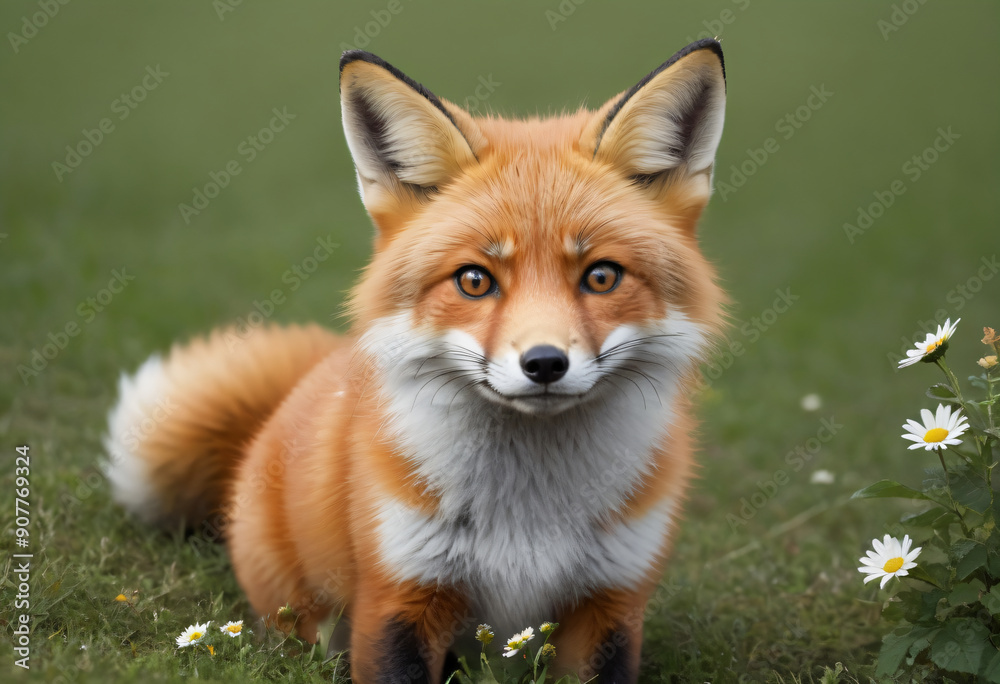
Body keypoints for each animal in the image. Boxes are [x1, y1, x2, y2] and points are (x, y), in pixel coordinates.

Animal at [104, 38, 728, 683]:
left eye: (601, 276)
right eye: (475, 280)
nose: (545, 364)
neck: (528, 516)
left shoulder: (611, 604)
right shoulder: (399, 594)